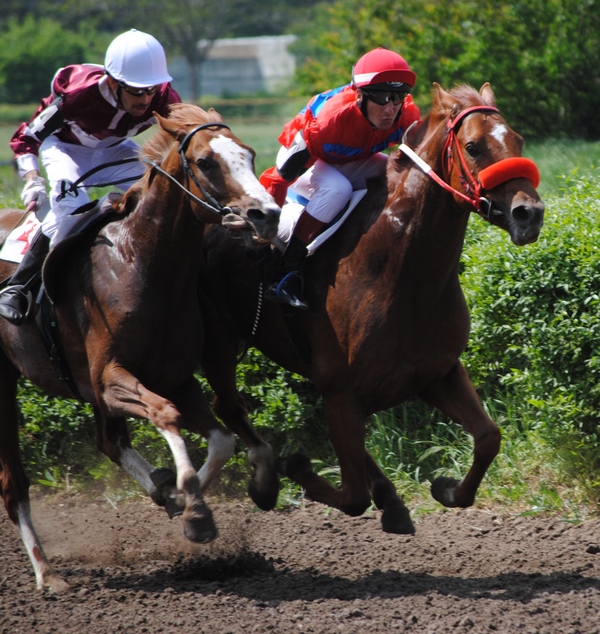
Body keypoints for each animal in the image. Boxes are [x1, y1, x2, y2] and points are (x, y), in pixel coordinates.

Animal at [0, 101, 280, 592]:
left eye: (248, 153)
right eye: (206, 162)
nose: (266, 213)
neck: (139, 264)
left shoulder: (173, 376)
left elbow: (222, 439)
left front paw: (182, 501)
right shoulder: (111, 379)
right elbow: (166, 414)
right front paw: (193, 507)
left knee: (108, 440)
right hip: (4, 381)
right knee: (14, 483)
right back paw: (47, 572)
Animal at [199, 81, 548, 532]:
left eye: (518, 140)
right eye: (473, 147)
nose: (530, 214)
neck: (402, 275)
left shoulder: (437, 374)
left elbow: (489, 437)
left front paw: (446, 488)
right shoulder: (341, 391)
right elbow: (352, 497)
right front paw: (296, 469)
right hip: (218, 342)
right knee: (227, 404)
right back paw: (266, 481)